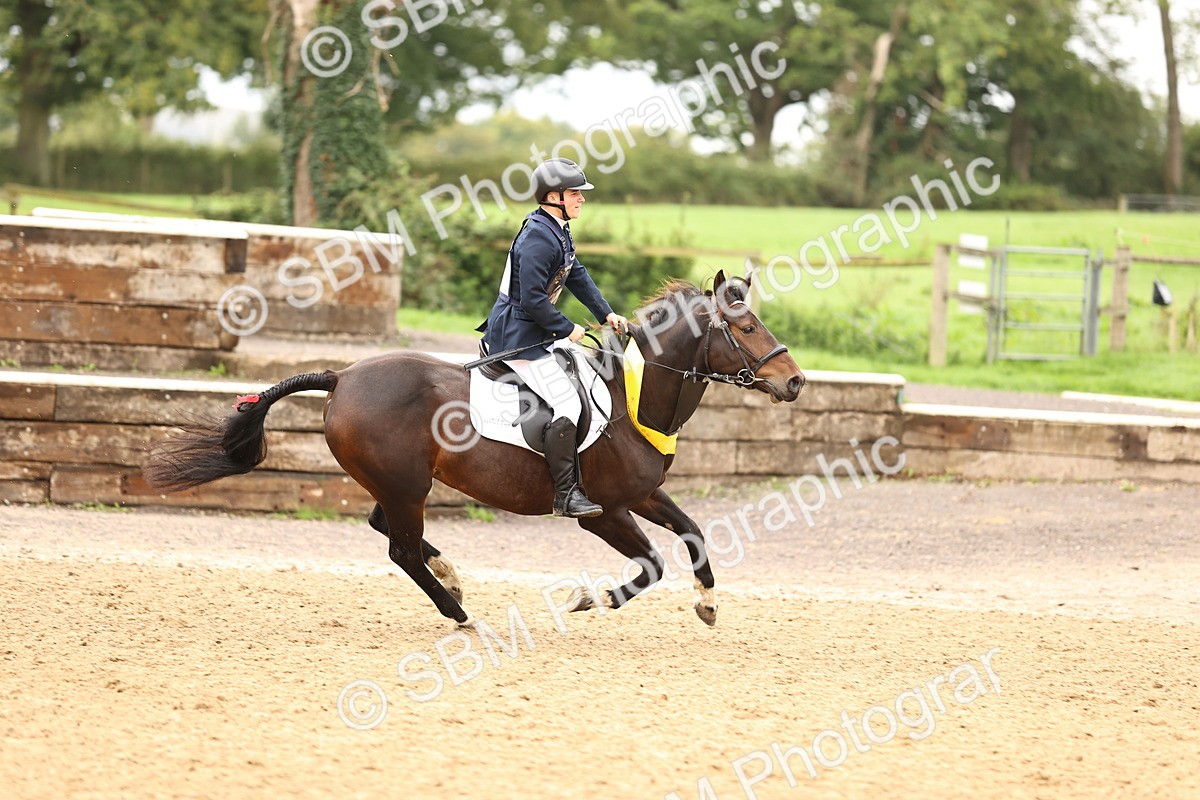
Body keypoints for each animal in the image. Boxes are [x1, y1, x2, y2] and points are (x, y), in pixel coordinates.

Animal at [143, 270, 806, 627]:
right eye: (747, 328)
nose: (796, 381)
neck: (633, 400)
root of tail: (343, 376)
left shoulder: (643, 494)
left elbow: (693, 534)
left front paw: (708, 604)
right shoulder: (603, 512)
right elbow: (650, 565)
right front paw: (590, 598)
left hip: (400, 482)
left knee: (389, 529)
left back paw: (452, 580)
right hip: (407, 484)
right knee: (400, 548)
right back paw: (459, 614)